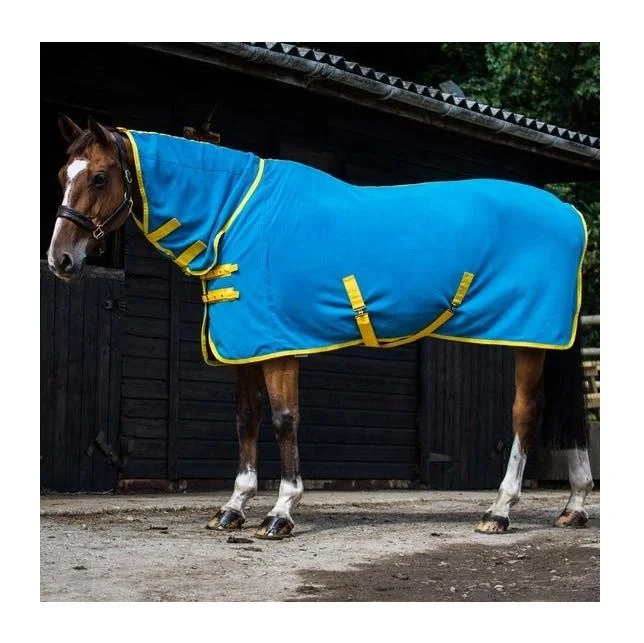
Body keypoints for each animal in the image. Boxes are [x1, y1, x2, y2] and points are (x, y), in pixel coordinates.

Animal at [46, 115, 594, 539]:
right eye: (61, 174)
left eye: (99, 177)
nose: (60, 260)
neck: (235, 217)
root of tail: (568, 210)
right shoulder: (245, 348)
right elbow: (246, 420)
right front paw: (233, 508)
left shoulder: (278, 346)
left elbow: (284, 420)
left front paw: (281, 512)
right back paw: (575, 506)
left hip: (529, 338)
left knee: (525, 416)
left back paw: (499, 511)